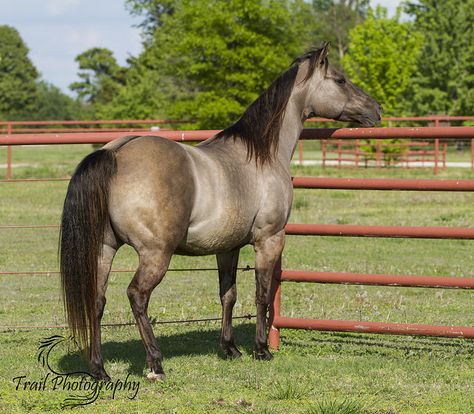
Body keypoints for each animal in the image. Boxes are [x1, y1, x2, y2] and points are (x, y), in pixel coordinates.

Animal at [59, 42, 382, 382]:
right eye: (340, 80)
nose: (376, 109)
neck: (262, 154)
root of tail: (115, 152)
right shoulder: (269, 240)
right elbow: (262, 295)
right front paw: (261, 349)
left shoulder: (228, 247)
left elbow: (229, 294)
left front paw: (230, 348)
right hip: (155, 254)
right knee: (137, 296)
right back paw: (155, 364)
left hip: (104, 249)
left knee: (96, 300)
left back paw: (99, 369)